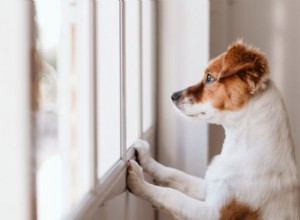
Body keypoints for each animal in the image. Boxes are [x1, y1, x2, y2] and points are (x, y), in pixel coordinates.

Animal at [126, 41, 300, 220]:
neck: (240, 149)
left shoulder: (213, 213)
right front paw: (145, 157)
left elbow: (171, 195)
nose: (173, 95)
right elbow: (173, 173)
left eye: (209, 78)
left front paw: (139, 182)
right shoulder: (208, 187)